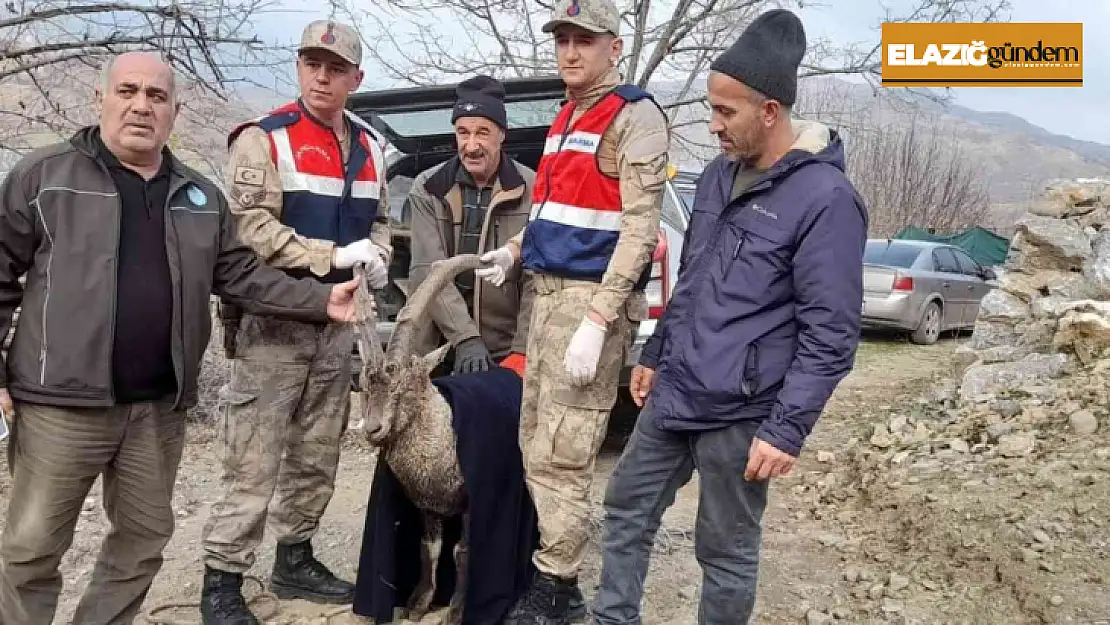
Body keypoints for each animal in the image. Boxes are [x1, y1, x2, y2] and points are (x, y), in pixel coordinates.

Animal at [350, 254, 481, 625]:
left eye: (404, 389)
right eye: (364, 387)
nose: (373, 429)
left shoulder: (470, 502)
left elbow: (462, 551)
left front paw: (456, 611)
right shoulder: (427, 507)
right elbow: (429, 549)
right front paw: (418, 604)